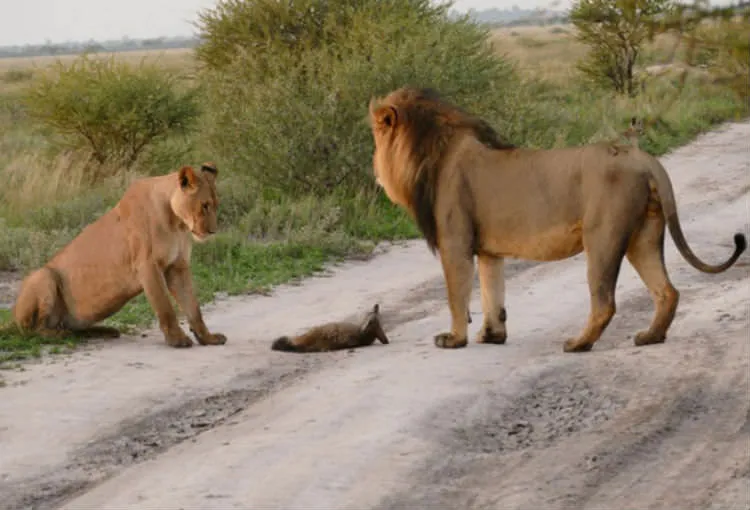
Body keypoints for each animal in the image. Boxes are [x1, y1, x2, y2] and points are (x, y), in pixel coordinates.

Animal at [12, 163, 227, 348]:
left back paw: (104, 331)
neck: (177, 223)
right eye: (205, 205)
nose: (213, 231)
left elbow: (193, 308)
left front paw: (208, 338)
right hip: (43, 276)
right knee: (32, 330)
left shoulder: (178, 267)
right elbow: (165, 307)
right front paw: (177, 339)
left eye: (216, 205)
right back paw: (59, 334)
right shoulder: (148, 265)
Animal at [367, 87, 746, 352]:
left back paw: (579, 344)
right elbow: (493, 291)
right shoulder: (489, 250)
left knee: (604, 302)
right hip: (645, 234)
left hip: (603, 237)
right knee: (667, 291)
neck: (431, 151)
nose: (373, 170)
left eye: (375, 137)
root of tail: (640, 157)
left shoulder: (455, 242)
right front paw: (492, 335)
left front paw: (454, 339)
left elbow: (457, 294)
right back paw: (650, 336)